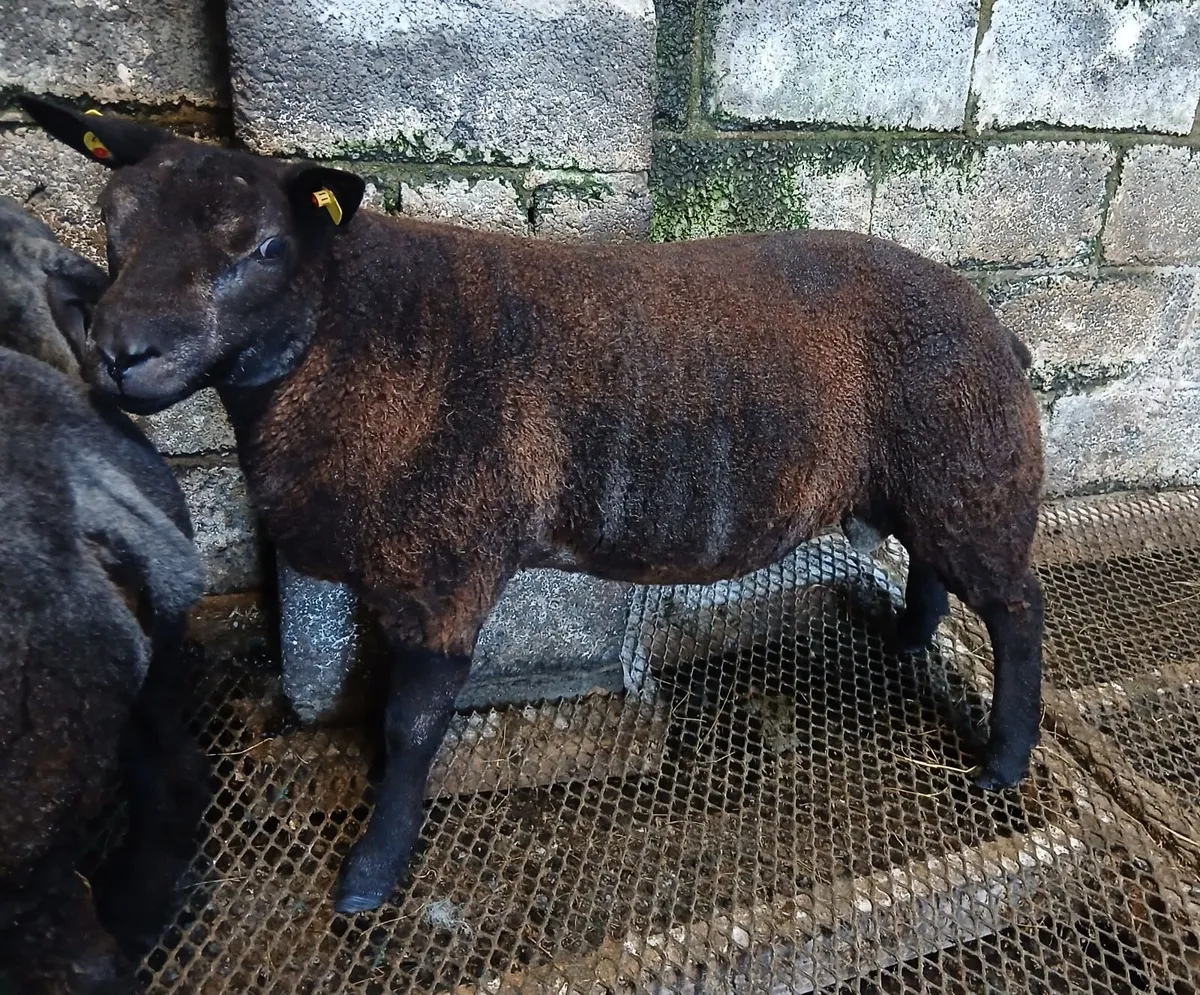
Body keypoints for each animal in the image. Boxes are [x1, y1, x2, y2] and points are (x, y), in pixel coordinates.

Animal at [21, 95, 1046, 916]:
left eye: (267, 247)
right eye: (112, 223)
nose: (120, 349)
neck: (348, 333)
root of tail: (999, 324)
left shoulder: (446, 563)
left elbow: (412, 723)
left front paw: (371, 873)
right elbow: (383, 701)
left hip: (976, 467)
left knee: (1018, 606)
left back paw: (1005, 759)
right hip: (932, 477)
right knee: (933, 568)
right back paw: (907, 640)